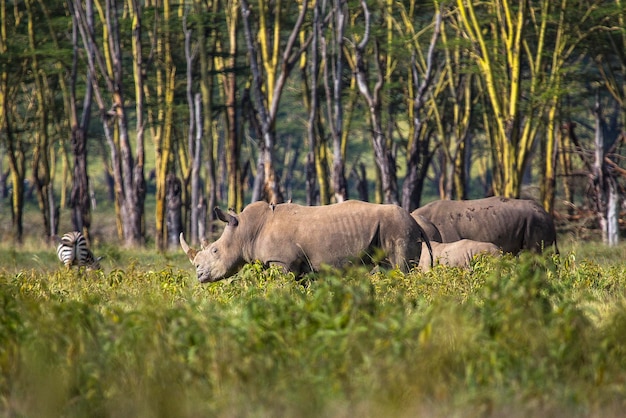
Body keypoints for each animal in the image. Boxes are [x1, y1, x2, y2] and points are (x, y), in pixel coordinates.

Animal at [178, 201, 426, 282]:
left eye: (215, 251)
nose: (199, 275)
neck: (246, 231)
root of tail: (417, 223)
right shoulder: (297, 266)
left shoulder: (281, 262)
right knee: (388, 268)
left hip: (399, 228)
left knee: (401, 269)